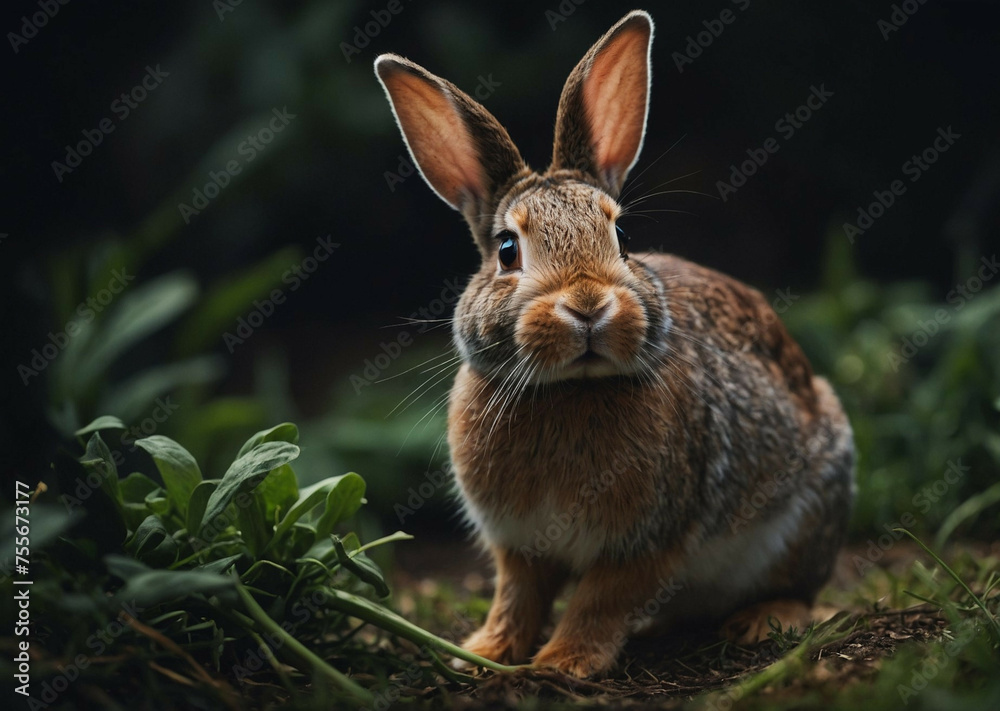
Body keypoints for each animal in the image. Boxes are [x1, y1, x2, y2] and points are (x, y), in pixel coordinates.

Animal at [374, 9, 854, 678]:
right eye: (507, 251)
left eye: (622, 237)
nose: (588, 306)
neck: (570, 390)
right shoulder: (519, 545)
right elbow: (516, 596)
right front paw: (484, 653)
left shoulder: (646, 543)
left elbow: (600, 601)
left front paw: (562, 663)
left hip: (808, 515)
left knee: (801, 590)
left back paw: (759, 621)